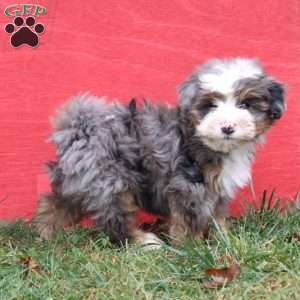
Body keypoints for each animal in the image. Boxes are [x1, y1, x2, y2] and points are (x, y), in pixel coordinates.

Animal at [32, 58, 286, 248]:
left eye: (246, 104)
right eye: (210, 105)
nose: (227, 127)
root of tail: (80, 127)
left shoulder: (217, 189)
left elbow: (217, 215)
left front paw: (226, 240)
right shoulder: (187, 186)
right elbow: (189, 220)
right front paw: (191, 248)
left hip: (80, 178)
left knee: (56, 203)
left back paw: (45, 234)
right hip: (111, 181)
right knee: (115, 219)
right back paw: (144, 242)